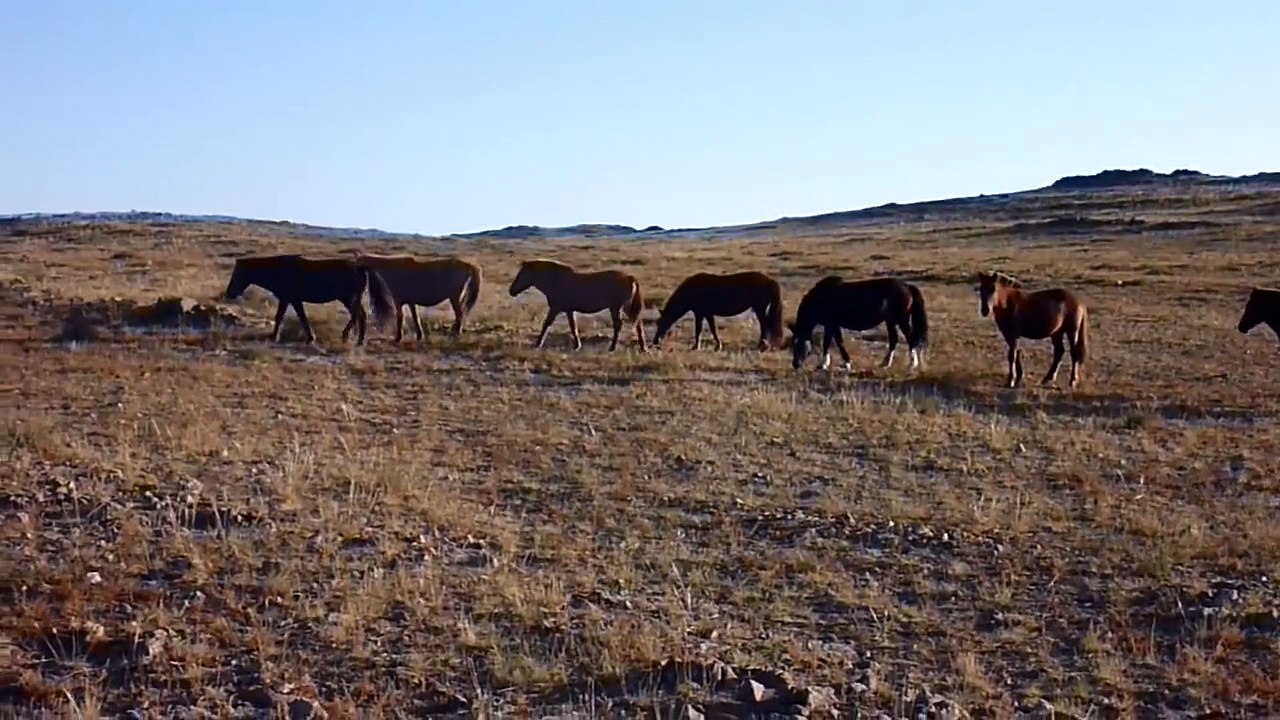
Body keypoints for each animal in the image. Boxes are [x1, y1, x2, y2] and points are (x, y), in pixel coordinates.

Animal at [222, 254, 396, 345]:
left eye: (238, 273)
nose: (229, 293)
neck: (280, 270)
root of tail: (360, 266)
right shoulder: (292, 300)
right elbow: (300, 318)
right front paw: (310, 338)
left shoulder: (289, 299)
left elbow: (284, 317)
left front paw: (274, 337)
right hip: (349, 298)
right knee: (359, 315)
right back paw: (356, 338)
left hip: (348, 297)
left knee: (358, 315)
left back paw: (350, 337)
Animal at [350, 253, 483, 342]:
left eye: (357, 266)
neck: (392, 269)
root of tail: (468, 265)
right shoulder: (410, 302)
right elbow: (415, 318)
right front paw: (419, 335)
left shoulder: (398, 301)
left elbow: (400, 317)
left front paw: (398, 337)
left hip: (454, 297)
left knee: (459, 314)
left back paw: (456, 332)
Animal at [508, 259, 647, 352]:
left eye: (522, 274)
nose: (511, 291)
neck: (556, 280)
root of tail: (629, 277)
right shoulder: (569, 310)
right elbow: (573, 326)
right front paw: (577, 345)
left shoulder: (555, 308)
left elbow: (546, 324)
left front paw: (537, 344)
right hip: (626, 307)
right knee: (638, 324)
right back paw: (643, 348)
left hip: (616, 307)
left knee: (618, 325)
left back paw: (612, 348)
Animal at [651, 271, 785, 351]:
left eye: (662, 323)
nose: (655, 343)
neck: (691, 291)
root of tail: (770, 280)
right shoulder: (707, 313)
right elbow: (712, 329)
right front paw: (718, 345)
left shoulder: (700, 313)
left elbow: (699, 330)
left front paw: (696, 347)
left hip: (760, 308)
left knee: (764, 325)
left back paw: (761, 345)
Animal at [785, 275, 929, 372]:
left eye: (798, 343)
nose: (795, 364)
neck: (820, 298)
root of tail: (907, 286)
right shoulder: (830, 325)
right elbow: (830, 342)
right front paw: (825, 364)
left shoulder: (832, 324)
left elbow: (835, 342)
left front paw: (839, 364)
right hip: (891, 320)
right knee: (894, 339)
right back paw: (885, 363)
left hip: (901, 319)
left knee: (910, 338)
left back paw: (912, 364)